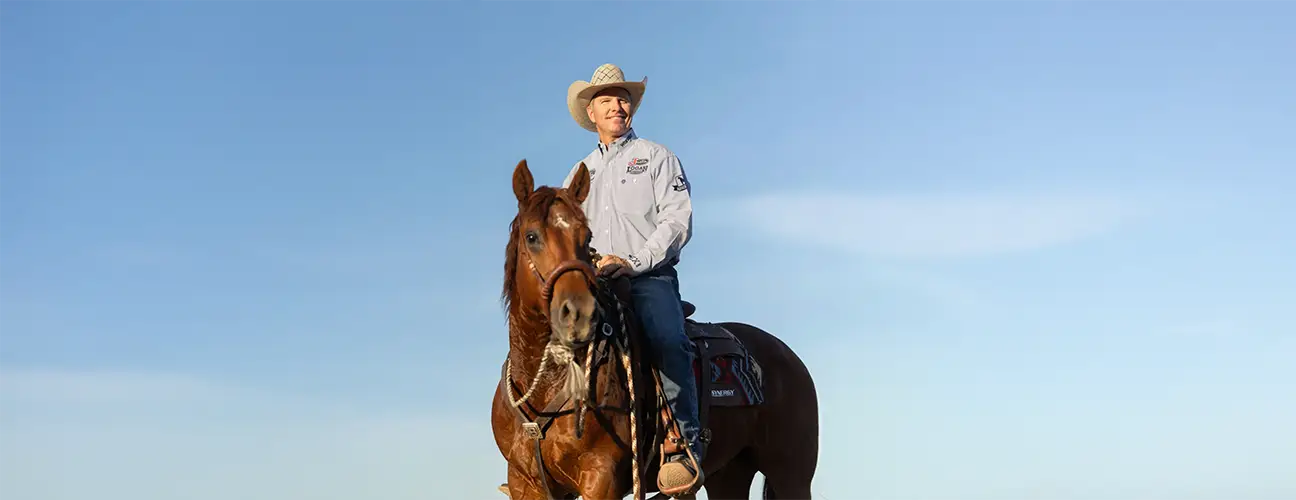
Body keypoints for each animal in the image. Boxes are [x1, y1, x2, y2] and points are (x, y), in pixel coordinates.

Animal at [490, 159, 819, 500]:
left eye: (587, 237)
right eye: (532, 237)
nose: (579, 312)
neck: (546, 386)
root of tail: (787, 356)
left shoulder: (601, 476)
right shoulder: (525, 482)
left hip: (791, 474)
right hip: (729, 474)